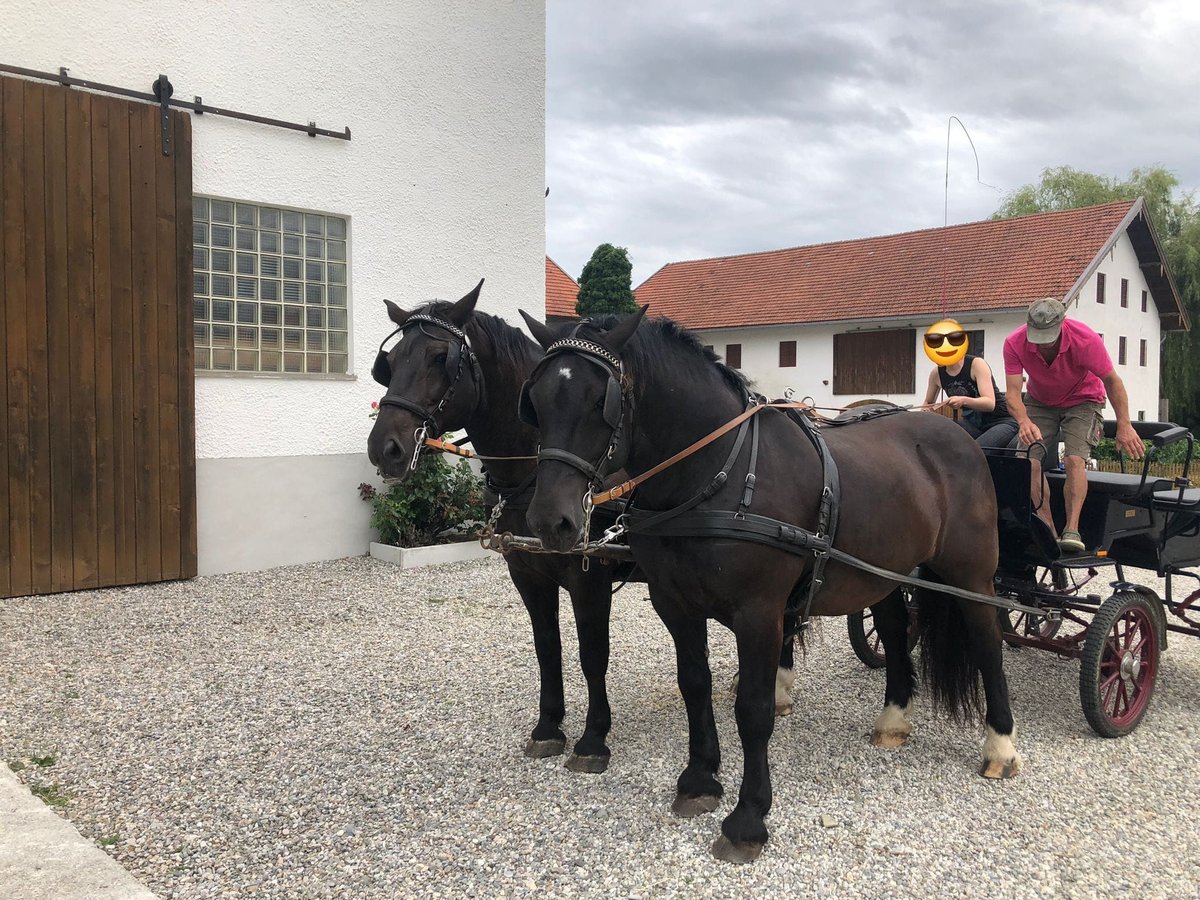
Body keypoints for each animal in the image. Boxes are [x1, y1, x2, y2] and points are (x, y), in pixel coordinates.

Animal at [365, 282, 798, 771]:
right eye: (391, 361)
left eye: (440, 357)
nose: (385, 447)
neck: (534, 469)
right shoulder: (527, 573)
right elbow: (546, 648)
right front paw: (548, 726)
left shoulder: (588, 576)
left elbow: (593, 654)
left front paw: (593, 738)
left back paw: (779, 687)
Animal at [516, 307, 1020, 863]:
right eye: (536, 401)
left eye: (599, 401)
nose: (550, 521)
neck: (717, 475)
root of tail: (951, 432)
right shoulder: (674, 604)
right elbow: (694, 685)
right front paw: (699, 781)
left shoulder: (758, 612)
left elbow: (753, 710)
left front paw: (748, 817)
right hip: (884, 573)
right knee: (891, 631)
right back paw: (893, 720)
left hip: (970, 573)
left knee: (987, 643)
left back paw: (1000, 745)